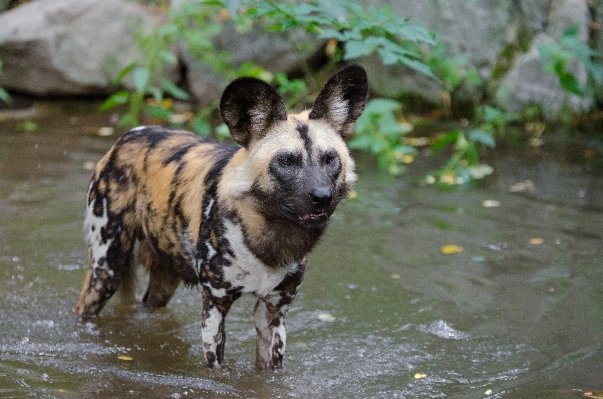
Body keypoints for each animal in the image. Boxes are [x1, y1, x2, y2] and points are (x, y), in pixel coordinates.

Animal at [75, 65, 368, 368]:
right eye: (287, 161)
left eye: (330, 159)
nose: (322, 196)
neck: (267, 238)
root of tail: (130, 135)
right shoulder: (215, 306)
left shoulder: (274, 312)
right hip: (108, 267)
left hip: (165, 276)